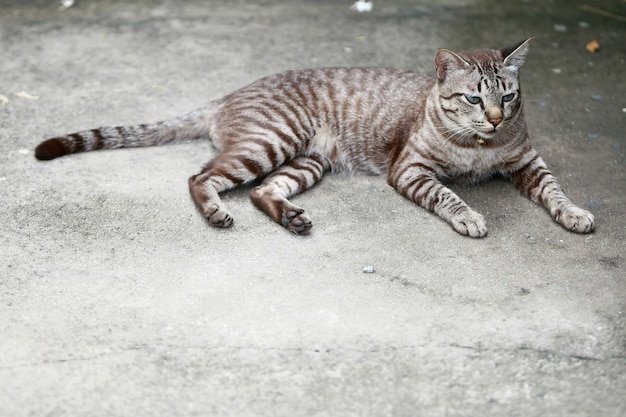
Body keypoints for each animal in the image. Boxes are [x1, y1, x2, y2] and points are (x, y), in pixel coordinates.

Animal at [35, 39, 596, 237]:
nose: (497, 120)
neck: (481, 148)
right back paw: (216, 211)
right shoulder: (411, 170)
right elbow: (448, 195)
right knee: (200, 177)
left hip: (307, 162)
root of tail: (227, 95)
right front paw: (469, 215)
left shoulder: (528, 160)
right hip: (272, 142)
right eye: (474, 100)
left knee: (262, 191)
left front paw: (573, 213)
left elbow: (555, 190)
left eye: (508, 96)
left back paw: (292, 218)